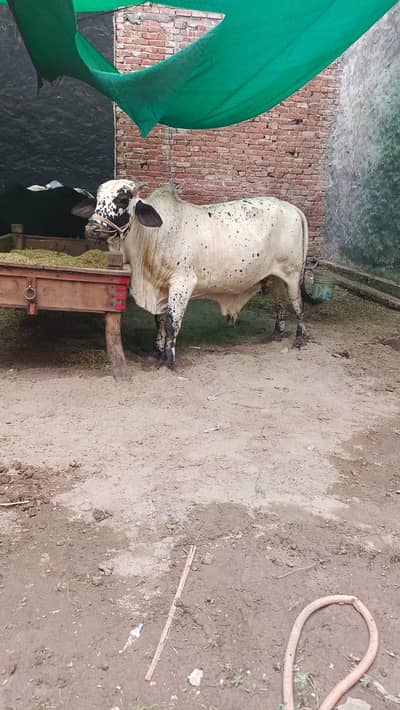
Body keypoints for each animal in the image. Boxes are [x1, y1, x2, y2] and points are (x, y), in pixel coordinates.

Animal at [73, 179, 314, 366]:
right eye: (97, 199)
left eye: (123, 199)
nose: (92, 228)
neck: (153, 236)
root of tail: (292, 207)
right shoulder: (161, 288)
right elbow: (159, 320)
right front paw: (157, 350)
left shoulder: (182, 283)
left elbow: (172, 323)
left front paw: (167, 360)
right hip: (274, 276)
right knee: (279, 303)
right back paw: (277, 333)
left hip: (293, 274)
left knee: (297, 304)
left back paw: (300, 338)